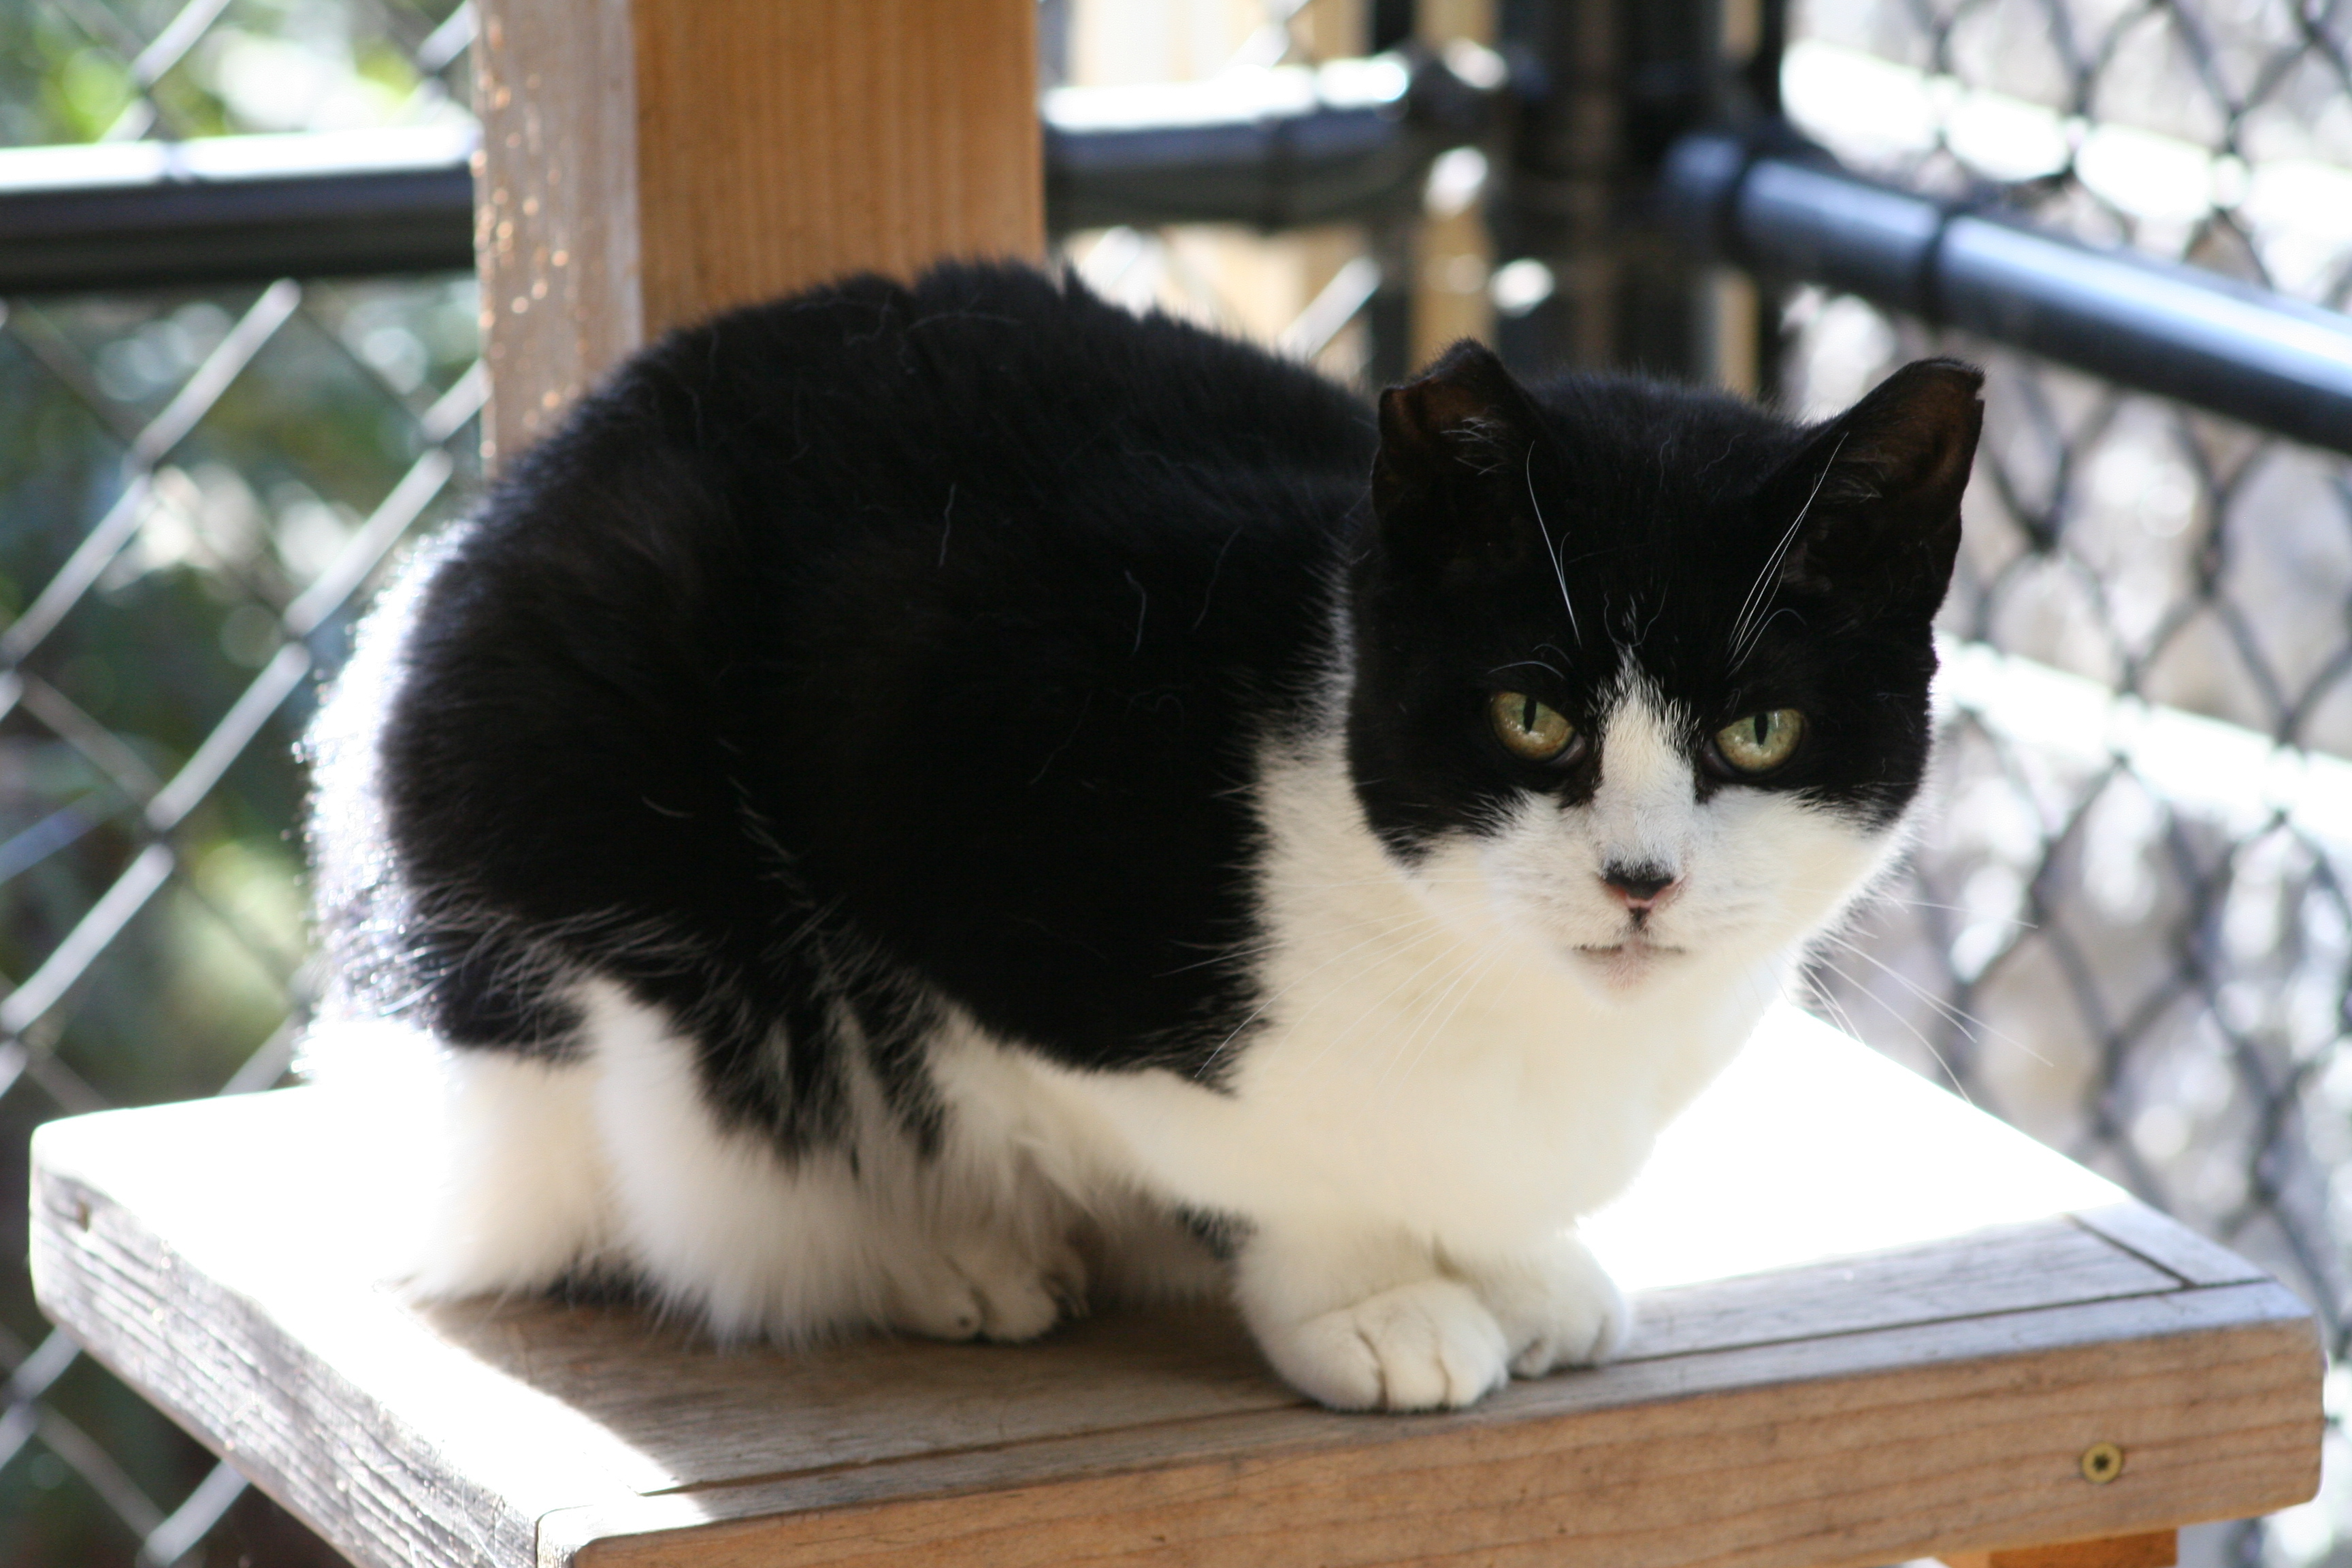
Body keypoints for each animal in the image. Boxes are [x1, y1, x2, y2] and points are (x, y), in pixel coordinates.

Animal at [298, 257, 1984, 1410]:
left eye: (1759, 733)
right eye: (1531, 717)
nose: (1642, 881)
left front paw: (1520, 1267)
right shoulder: (963, 794)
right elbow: (1241, 1162)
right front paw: (1371, 1300)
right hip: (568, 829)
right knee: (712, 1145)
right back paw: (934, 1255)